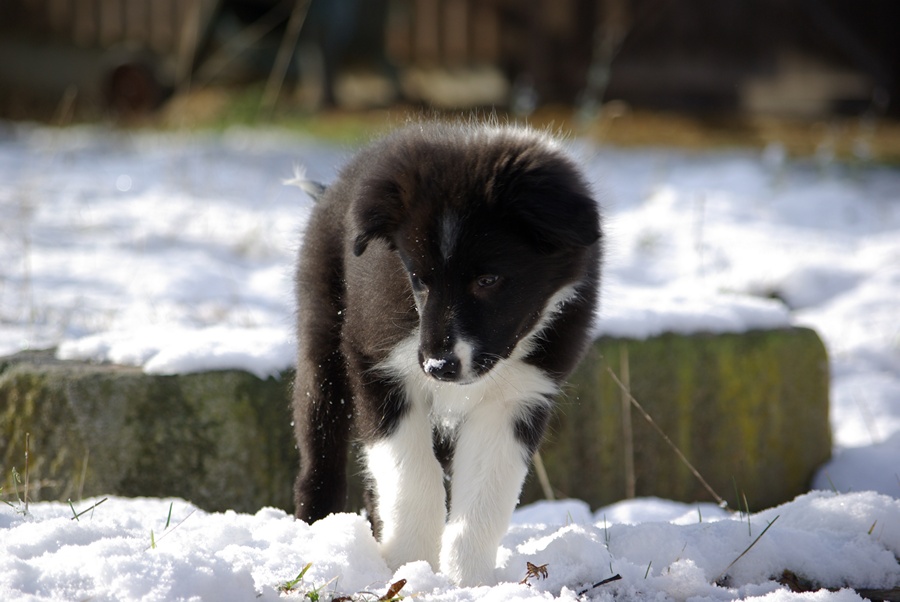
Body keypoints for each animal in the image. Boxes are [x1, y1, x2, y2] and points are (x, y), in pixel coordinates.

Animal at [292, 119, 600, 584]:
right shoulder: (379, 366)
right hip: (324, 348)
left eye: (488, 280)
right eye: (418, 278)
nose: (438, 366)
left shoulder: (519, 395)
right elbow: (411, 480)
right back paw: (318, 537)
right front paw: (409, 570)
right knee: (320, 456)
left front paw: (465, 581)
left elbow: (485, 498)